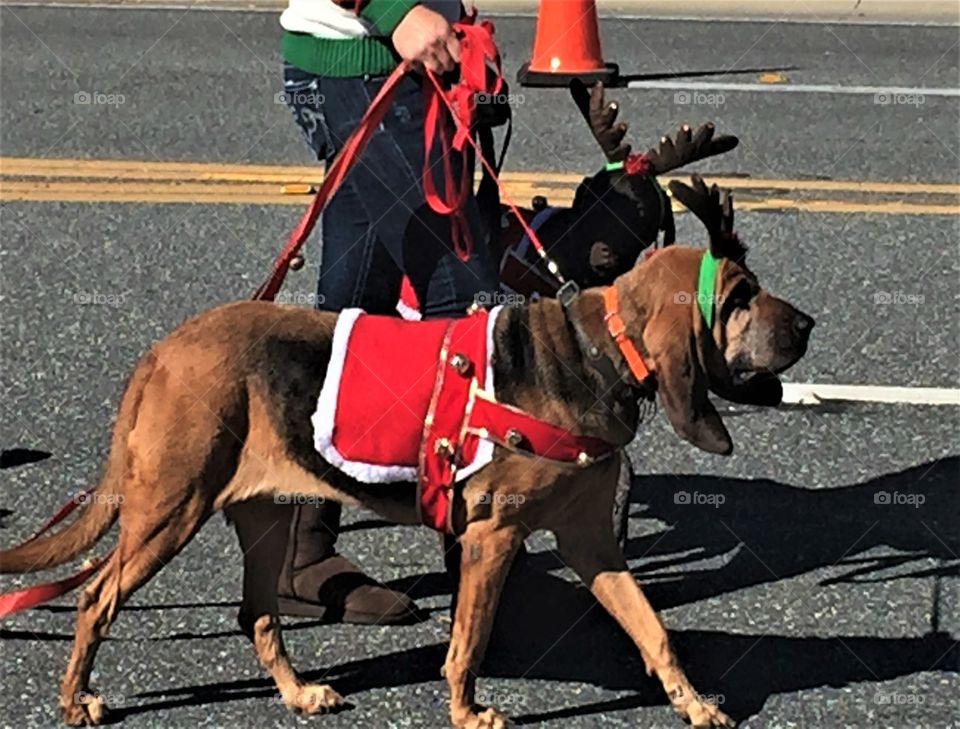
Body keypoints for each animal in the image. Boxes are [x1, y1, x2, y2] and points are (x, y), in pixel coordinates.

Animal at [0, 178, 812, 728]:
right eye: (738, 296)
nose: (807, 322)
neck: (592, 351)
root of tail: (163, 348)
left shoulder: (591, 541)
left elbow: (653, 629)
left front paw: (695, 703)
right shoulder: (492, 538)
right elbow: (470, 639)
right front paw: (468, 710)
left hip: (262, 515)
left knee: (258, 615)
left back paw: (298, 693)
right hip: (169, 510)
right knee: (96, 598)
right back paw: (76, 700)